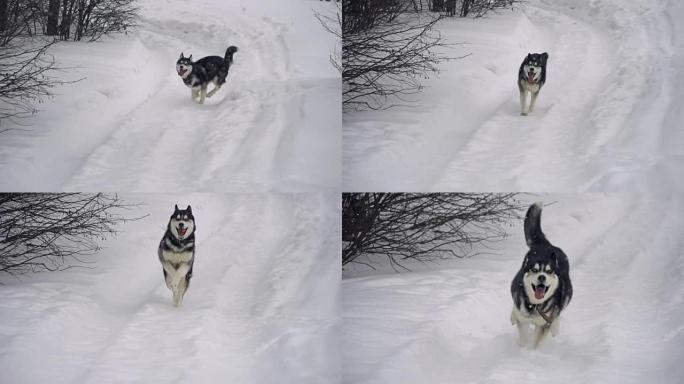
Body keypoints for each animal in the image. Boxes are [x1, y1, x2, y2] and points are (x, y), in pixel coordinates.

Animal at [508, 202, 572, 350]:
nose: (542, 277)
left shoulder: (544, 324)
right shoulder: (523, 319)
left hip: (567, 293)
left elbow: (536, 341)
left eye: (549, 271)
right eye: (534, 270)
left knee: (558, 314)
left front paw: (530, 352)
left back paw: (555, 328)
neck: (535, 305)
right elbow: (523, 334)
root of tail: (546, 245)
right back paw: (512, 317)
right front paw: (522, 347)